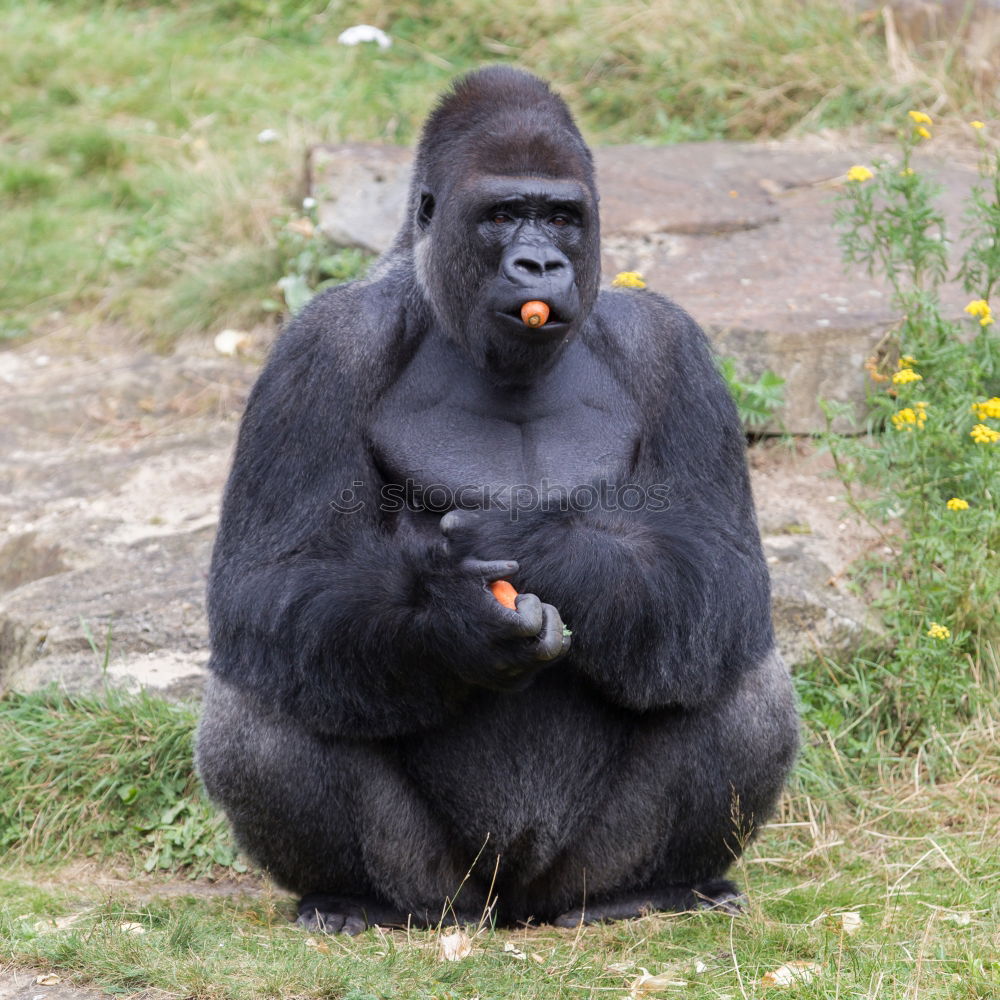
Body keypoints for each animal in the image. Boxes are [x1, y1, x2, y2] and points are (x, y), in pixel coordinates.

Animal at [197, 66, 796, 932]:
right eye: (504, 214)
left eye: (563, 217)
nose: (540, 265)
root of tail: (513, 904)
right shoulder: (320, 348)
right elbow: (268, 581)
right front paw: (453, 625)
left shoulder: (671, 345)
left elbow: (722, 567)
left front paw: (541, 543)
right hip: (443, 884)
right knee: (264, 693)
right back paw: (352, 898)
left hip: (577, 870)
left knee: (737, 670)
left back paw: (654, 889)